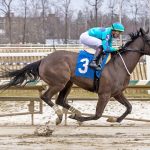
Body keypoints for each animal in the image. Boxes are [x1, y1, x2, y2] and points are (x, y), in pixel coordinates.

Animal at [0, 27, 150, 124]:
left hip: (68, 82)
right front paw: (78, 119)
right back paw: (60, 115)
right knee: (46, 97)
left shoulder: (117, 93)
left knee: (60, 100)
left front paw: (114, 119)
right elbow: (97, 115)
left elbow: (129, 108)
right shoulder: (105, 94)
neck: (119, 65)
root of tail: (43, 60)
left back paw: (75, 111)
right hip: (59, 82)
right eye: (149, 39)